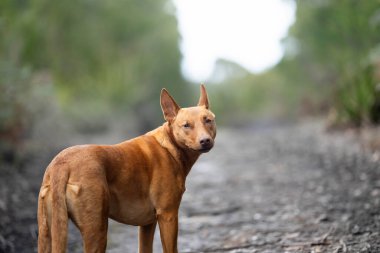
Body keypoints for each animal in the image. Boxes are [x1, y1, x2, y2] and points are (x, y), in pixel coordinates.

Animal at [38, 85, 217, 253]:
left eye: (208, 120)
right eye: (186, 125)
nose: (205, 141)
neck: (170, 146)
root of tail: (61, 164)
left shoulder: (147, 224)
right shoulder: (168, 215)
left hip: (46, 233)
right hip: (97, 231)